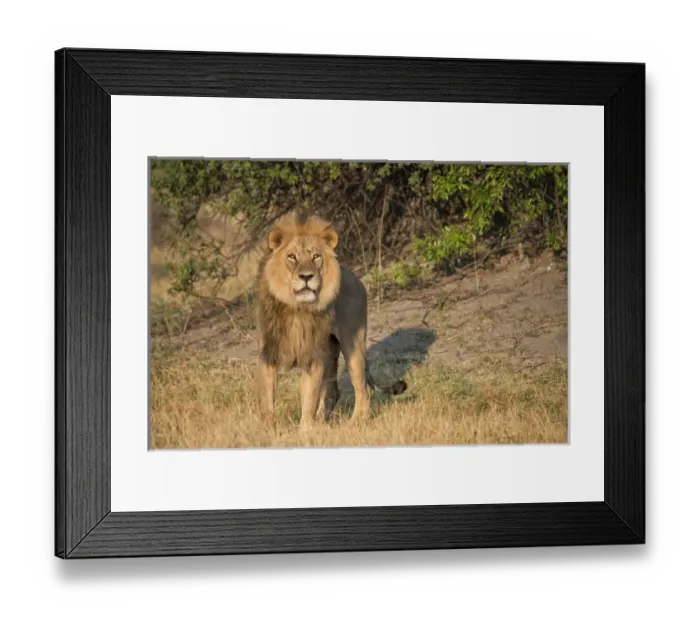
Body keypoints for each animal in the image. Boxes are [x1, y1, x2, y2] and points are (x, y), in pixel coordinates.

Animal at [256, 212, 407, 426]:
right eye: (292, 256)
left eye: (316, 256)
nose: (306, 276)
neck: (298, 308)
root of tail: (356, 278)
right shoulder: (269, 354)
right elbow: (267, 400)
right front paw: (268, 429)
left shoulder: (313, 358)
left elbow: (309, 400)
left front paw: (306, 430)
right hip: (330, 351)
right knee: (333, 391)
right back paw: (323, 422)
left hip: (353, 345)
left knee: (363, 388)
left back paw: (355, 423)